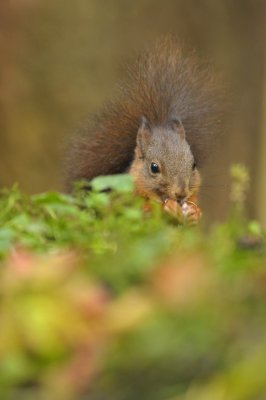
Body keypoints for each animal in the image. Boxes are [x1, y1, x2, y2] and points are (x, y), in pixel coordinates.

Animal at [65, 36, 224, 225]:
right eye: (154, 168)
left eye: (194, 164)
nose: (180, 194)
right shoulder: (126, 202)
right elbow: (143, 213)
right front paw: (167, 208)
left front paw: (195, 213)